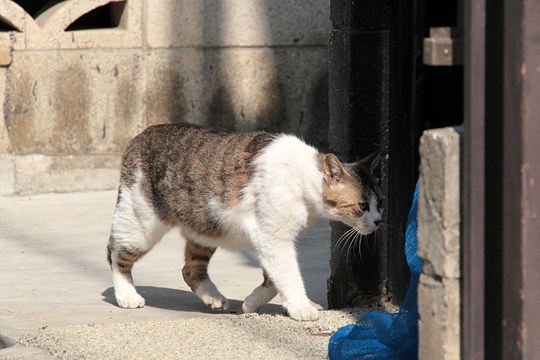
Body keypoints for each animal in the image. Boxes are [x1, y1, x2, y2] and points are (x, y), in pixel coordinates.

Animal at [106, 123, 384, 320]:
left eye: (380, 203)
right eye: (362, 206)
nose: (379, 221)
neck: (302, 178)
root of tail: (141, 135)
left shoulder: (272, 239)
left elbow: (273, 279)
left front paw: (252, 303)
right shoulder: (273, 237)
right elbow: (288, 274)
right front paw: (301, 307)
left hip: (206, 228)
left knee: (191, 269)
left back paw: (213, 297)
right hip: (141, 224)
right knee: (116, 253)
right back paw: (127, 295)